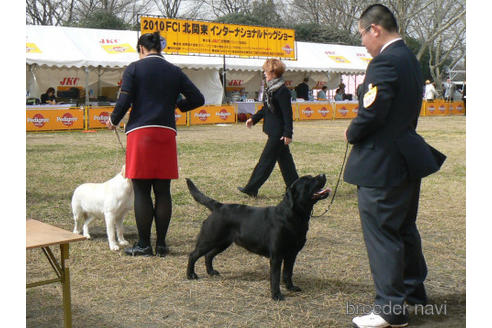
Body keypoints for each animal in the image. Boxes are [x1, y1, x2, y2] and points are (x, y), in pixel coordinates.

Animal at [184, 176, 330, 302]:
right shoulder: (276, 256)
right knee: (193, 255)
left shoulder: (292, 254)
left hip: (222, 243)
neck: (293, 216)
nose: (323, 174)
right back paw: (191, 275)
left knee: (208, 255)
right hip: (209, 239)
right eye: (307, 180)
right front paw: (276, 295)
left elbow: (288, 273)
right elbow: (275, 277)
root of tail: (219, 206)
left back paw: (211, 272)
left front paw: (291, 288)